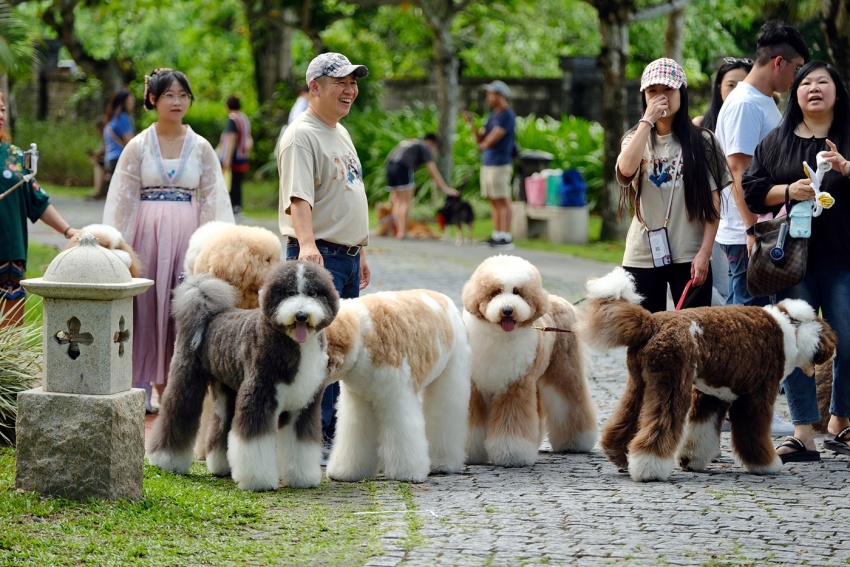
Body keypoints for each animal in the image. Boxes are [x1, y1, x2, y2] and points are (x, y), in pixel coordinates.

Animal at [147, 262, 340, 492]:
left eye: (313, 293)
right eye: (288, 293)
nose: (301, 315)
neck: (294, 344)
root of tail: (209, 314)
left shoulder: (303, 407)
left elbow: (301, 445)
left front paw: (302, 478)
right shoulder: (259, 398)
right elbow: (254, 442)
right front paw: (258, 481)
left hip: (227, 391)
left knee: (221, 424)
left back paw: (220, 466)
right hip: (187, 379)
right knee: (177, 412)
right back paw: (165, 460)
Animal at [322, 288, 470, 484]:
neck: (363, 335)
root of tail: (445, 299)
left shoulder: (396, 400)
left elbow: (403, 435)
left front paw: (408, 473)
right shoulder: (358, 403)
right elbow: (356, 438)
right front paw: (347, 471)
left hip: (449, 383)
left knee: (445, 420)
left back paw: (442, 463)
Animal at [460, 256, 600, 466]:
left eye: (517, 292)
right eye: (495, 292)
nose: (507, 310)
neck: (500, 336)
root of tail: (560, 301)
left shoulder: (514, 386)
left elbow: (512, 421)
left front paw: (511, 455)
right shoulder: (476, 388)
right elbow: (472, 423)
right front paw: (470, 453)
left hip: (563, 371)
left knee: (570, 403)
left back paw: (575, 442)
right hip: (536, 380)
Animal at [584, 268, 836, 482]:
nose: (832, 348)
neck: (788, 328)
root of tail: (652, 323)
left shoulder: (712, 397)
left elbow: (701, 431)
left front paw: (690, 461)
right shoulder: (756, 397)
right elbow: (753, 434)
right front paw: (766, 465)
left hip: (640, 384)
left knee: (626, 419)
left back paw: (618, 455)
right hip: (671, 385)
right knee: (661, 425)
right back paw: (649, 468)